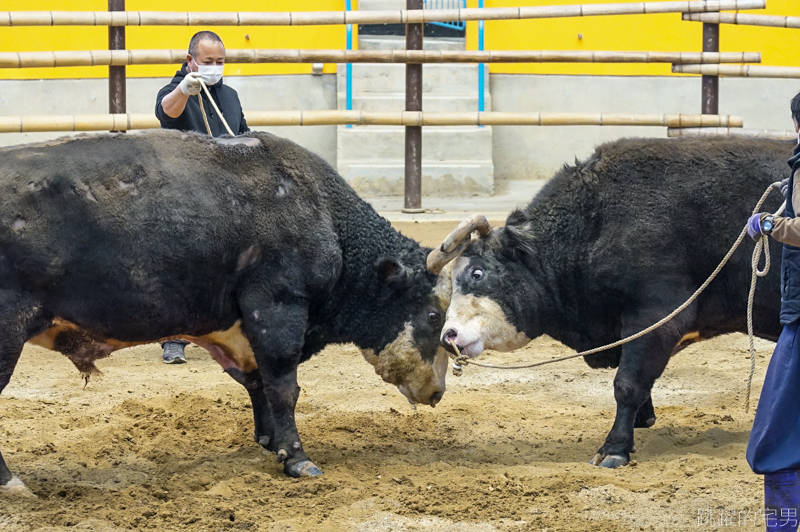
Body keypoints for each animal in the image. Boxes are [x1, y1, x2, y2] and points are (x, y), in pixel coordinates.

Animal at [0, 130, 450, 494]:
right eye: (433, 316)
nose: (437, 392)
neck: (323, 214)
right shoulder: (277, 305)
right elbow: (283, 386)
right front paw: (297, 458)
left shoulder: (242, 330)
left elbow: (259, 384)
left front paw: (271, 443)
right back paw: (11, 482)